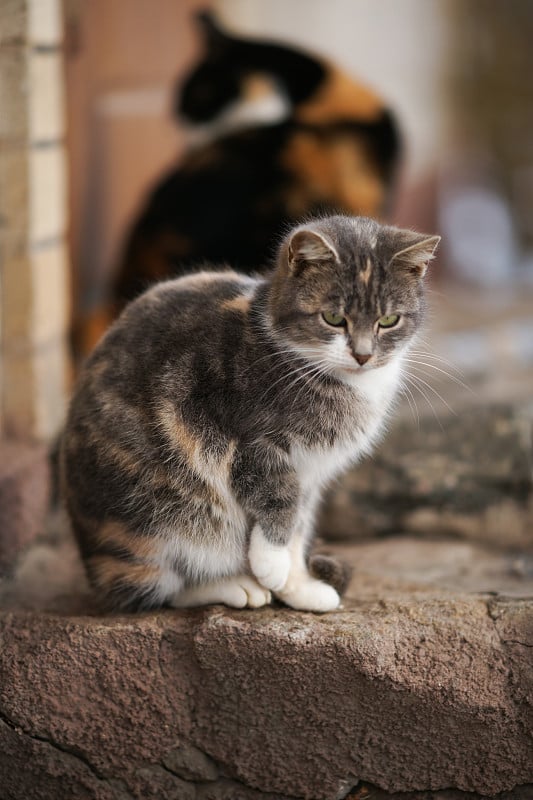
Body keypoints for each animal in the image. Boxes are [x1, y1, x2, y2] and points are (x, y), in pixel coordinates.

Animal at [61, 212, 436, 612]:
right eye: (333, 318)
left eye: (389, 320)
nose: (363, 355)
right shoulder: (246, 439)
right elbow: (279, 497)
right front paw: (270, 565)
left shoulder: (312, 473)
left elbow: (298, 526)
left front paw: (297, 586)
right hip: (153, 522)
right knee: (155, 588)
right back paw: (235, 586)